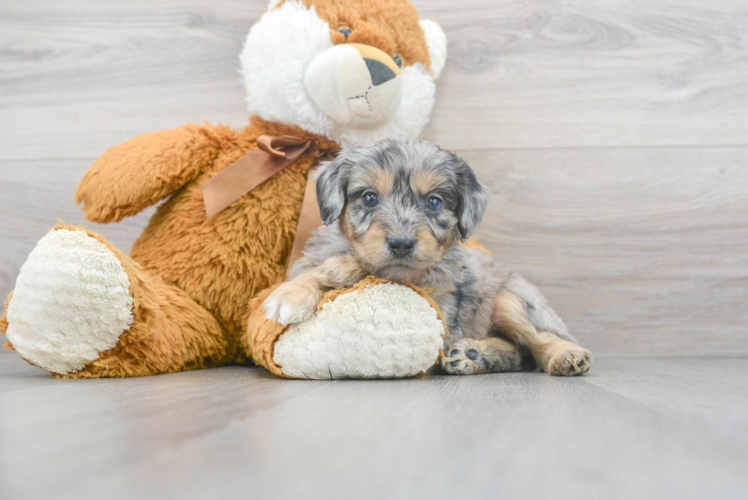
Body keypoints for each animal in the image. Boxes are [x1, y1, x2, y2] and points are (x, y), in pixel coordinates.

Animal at [262, 137, 592, 376]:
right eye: (369, 197)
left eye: (434, 202)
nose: (401, 244)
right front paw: (294, 291)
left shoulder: (434, 294)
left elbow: (365, 266)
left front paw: (328, 275)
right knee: (518, 352)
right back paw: (474, 355)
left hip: (512, 301)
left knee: (540, 339)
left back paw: (566, 355)